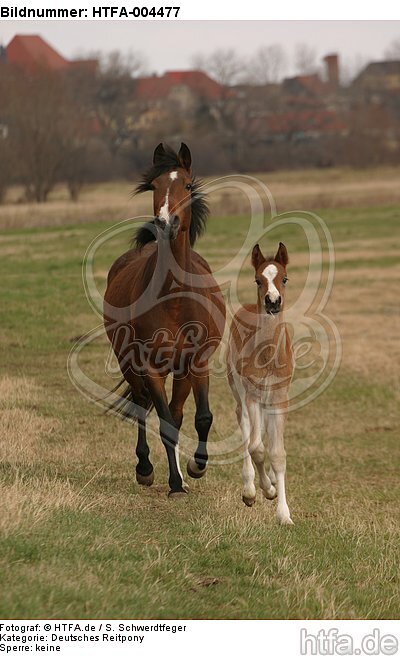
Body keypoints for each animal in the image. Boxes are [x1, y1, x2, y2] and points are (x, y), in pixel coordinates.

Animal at [103, 143, 226, 497]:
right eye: (154, 186)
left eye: (186, 184)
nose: (165, 222)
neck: (175, 301)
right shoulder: (150, 367)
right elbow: (165, 422)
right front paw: (173, 482)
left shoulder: (196, 362)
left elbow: (201, 417)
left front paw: (196, 468)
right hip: (128, 363)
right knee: (142, 405)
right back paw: (144, 469)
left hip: (181, 372)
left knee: (177, 410)